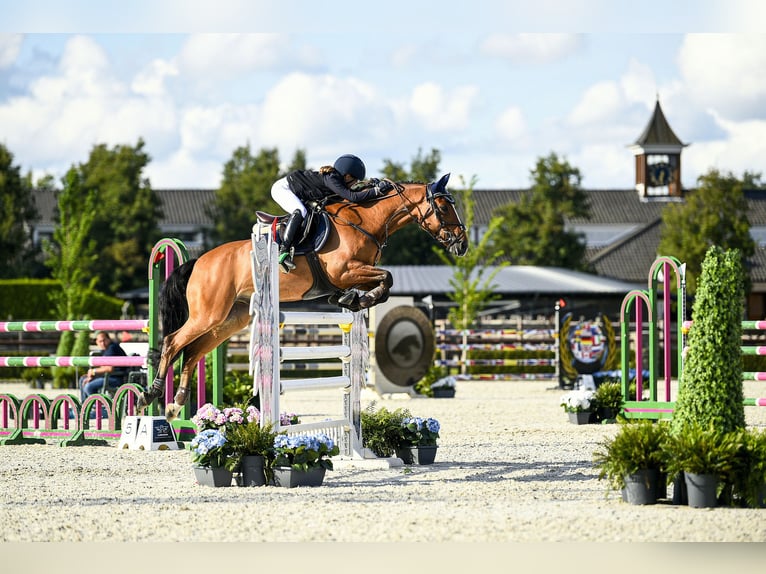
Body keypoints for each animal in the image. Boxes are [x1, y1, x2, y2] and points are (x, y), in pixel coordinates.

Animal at [140, 173, 474, 420]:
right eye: (444, 207)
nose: (462, 245)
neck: (365, 223)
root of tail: (200, 261)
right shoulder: (345, 271)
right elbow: (387, 278)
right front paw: (360, 300)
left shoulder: (354, 273)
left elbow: (384, 281)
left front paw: (350, 300)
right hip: (206, 314)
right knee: (172, 342)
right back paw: (151, 395)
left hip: (226, 320)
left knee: (192, 352)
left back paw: (175, 404)